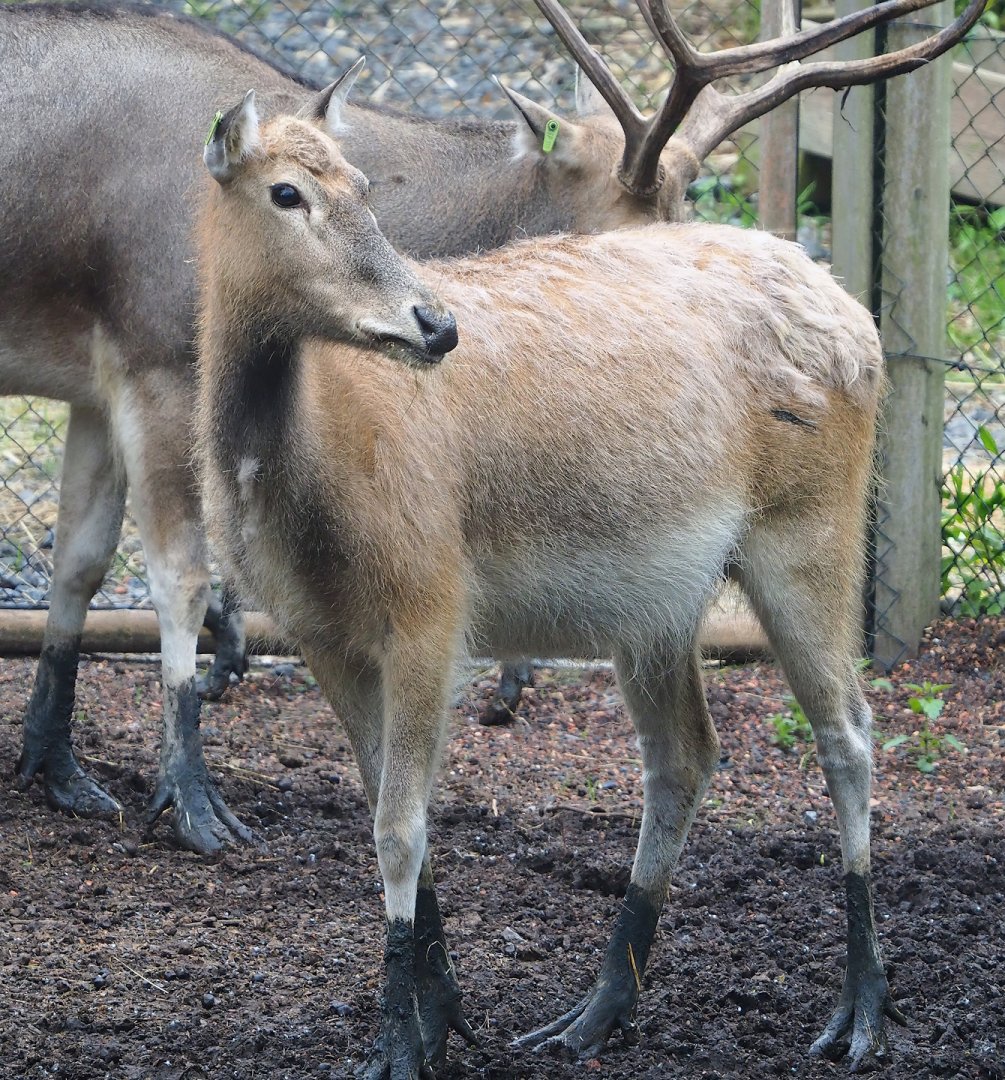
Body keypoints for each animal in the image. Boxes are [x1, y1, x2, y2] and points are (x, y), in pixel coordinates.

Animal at [193, 0, 983, 1054]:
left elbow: (399, 828)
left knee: (848, 730)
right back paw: (597, 1008)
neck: (307, 485)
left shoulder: (432, 603)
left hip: (808, 530)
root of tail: (854, 312)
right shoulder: (319, 632)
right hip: (657, 606)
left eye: (363, 186)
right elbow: (392, 816)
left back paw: (859, 1009)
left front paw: (400, 1044)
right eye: (285, 192)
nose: (433, 324)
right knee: (686, 754)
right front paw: (445, 1019)